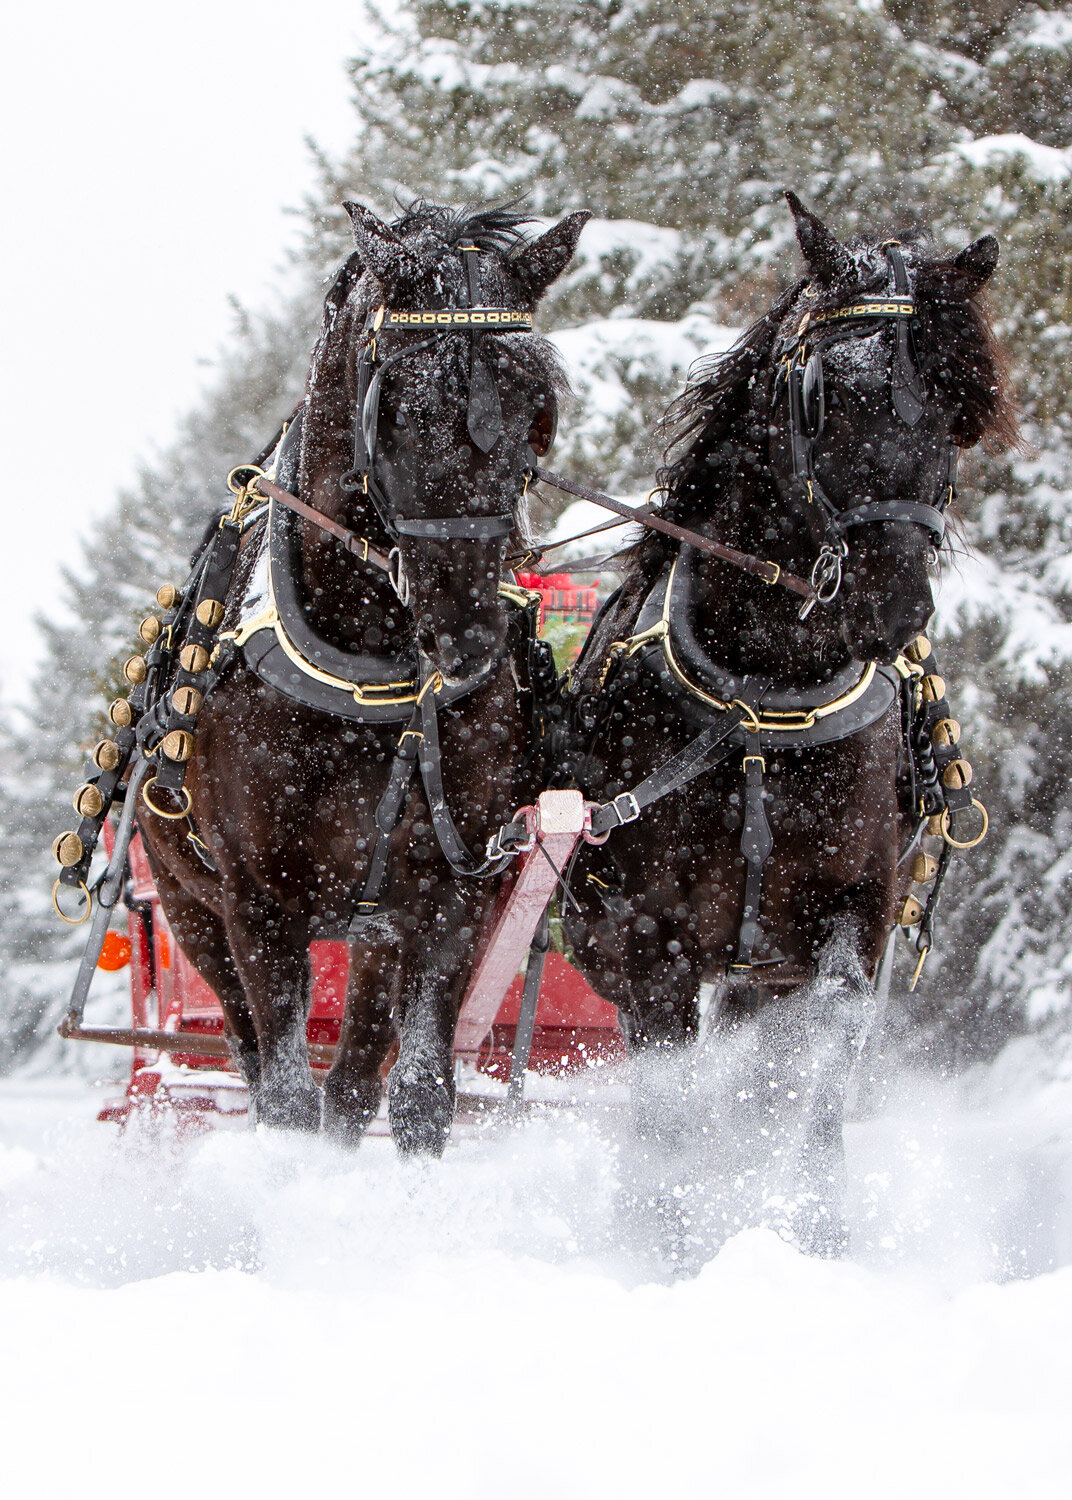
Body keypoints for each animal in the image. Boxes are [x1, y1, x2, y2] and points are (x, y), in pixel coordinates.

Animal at [135, 200, 588, 1151]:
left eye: (537, 407)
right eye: (403, 409)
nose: (468, 634)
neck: (372, 672)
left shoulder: (455, 891)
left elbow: (415, 1093)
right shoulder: (258, 907)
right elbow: (283, 1097)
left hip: (377, 927)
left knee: (351, 1080)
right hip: (191, 910)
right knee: (251, 1053)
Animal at [561, 193, 1016, 1255]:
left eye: (955, 409)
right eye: (822, 395)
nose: (895, 605)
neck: (760, 707)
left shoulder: (851, 920)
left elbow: (811, 1074)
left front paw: (812, 1232)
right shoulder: (650, 942)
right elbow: (669, 1105)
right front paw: (665, 1244)